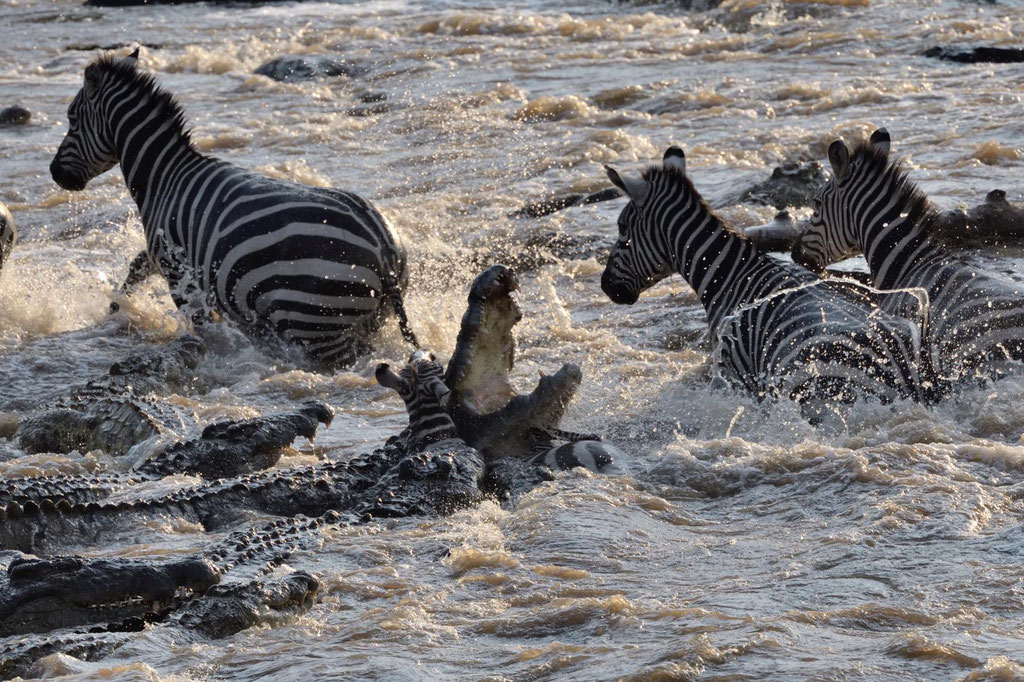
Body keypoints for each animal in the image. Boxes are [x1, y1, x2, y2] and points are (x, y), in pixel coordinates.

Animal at [49, 50, 417, 366]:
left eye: (71, 118)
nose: (54, 173)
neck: (164, 176)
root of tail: (383, 248)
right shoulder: (163, 256)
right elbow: (135, 269)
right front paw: (114, 310)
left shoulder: (176, 268)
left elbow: (203, 326)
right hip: (365, 322)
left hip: (315, 320)